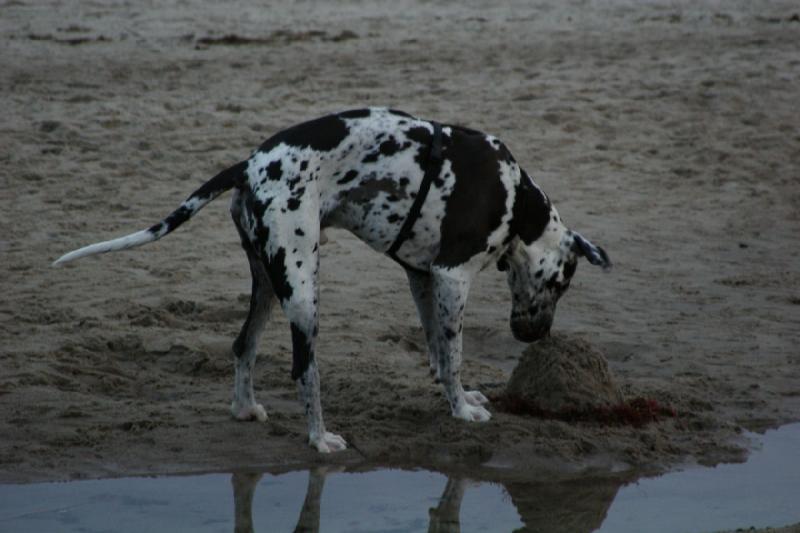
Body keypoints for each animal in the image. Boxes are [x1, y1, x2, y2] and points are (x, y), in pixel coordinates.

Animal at [53, 108, 608, 454]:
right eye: (562, 284)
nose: (537, 336)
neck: (516, 200)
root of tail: (248, 165)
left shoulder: (423, 278)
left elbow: (436, 349)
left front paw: (462, 396)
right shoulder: (452, 278)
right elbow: (452, 356)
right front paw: (461, 412)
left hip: (268, 284)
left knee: (243, 346)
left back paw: (245, 408)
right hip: (303, 292)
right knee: (305, 370)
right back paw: (319, 440)